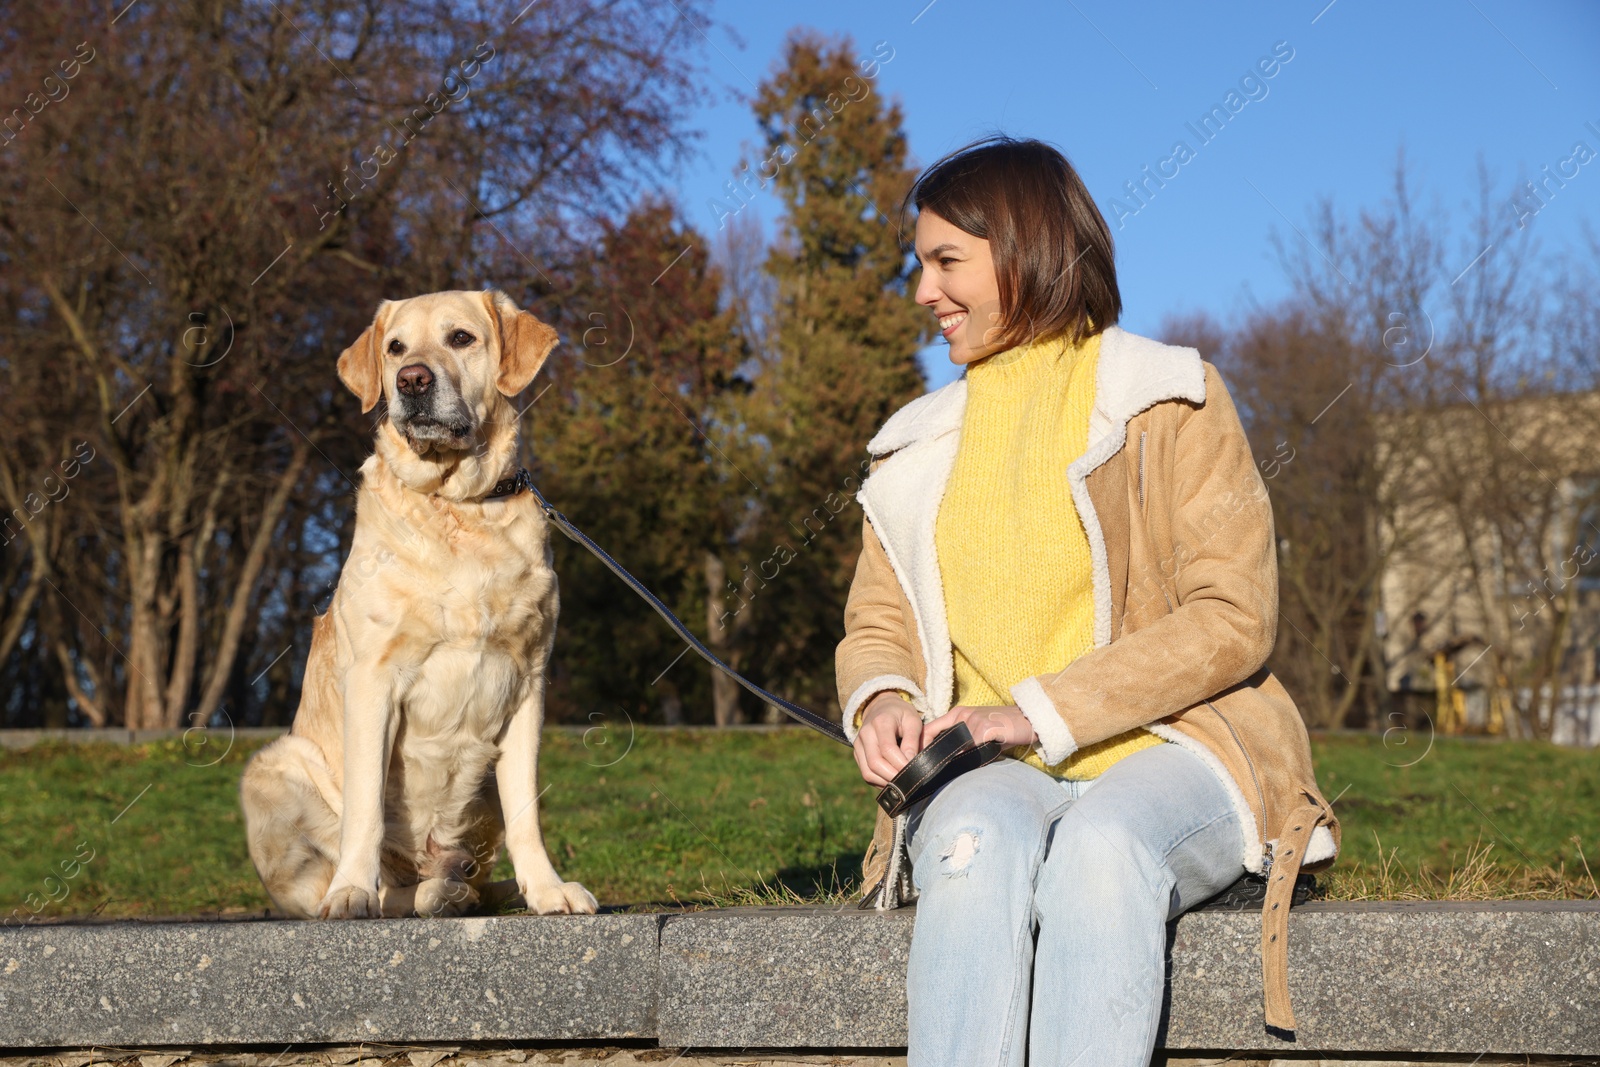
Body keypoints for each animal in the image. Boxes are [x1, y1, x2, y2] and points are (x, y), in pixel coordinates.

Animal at [233, 289, 592, 921]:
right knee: (381, 886)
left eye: (461, 338)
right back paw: (414, 892)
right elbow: (366, 810)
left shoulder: (528, 682)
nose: (412, 380)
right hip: (274, 767)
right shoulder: (373, 678)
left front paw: (548, 889)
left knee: (469, 874)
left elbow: (527, 810)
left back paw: (475, 890)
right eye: (396, 348)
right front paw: (350, 892)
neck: (458, 504)